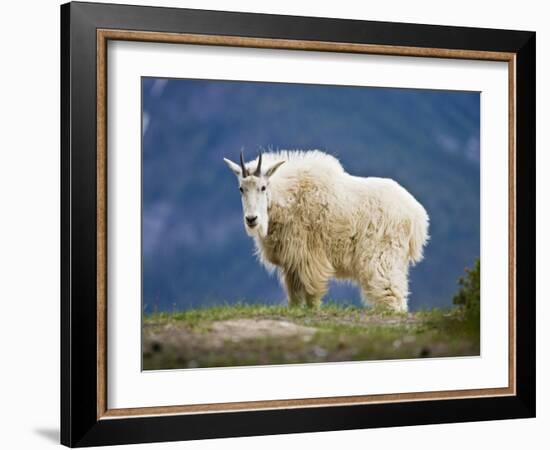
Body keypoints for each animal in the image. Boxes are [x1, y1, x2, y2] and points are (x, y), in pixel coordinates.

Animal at [225, 149, 432, 312]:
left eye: (263, 187)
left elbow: (311, 294)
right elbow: (294, 297)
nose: (251, 219)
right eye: (241, 188)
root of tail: (416, 216)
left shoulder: (309, 257)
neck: (288, 198)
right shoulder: (291, 261)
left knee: (392, 297)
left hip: (383, 256)